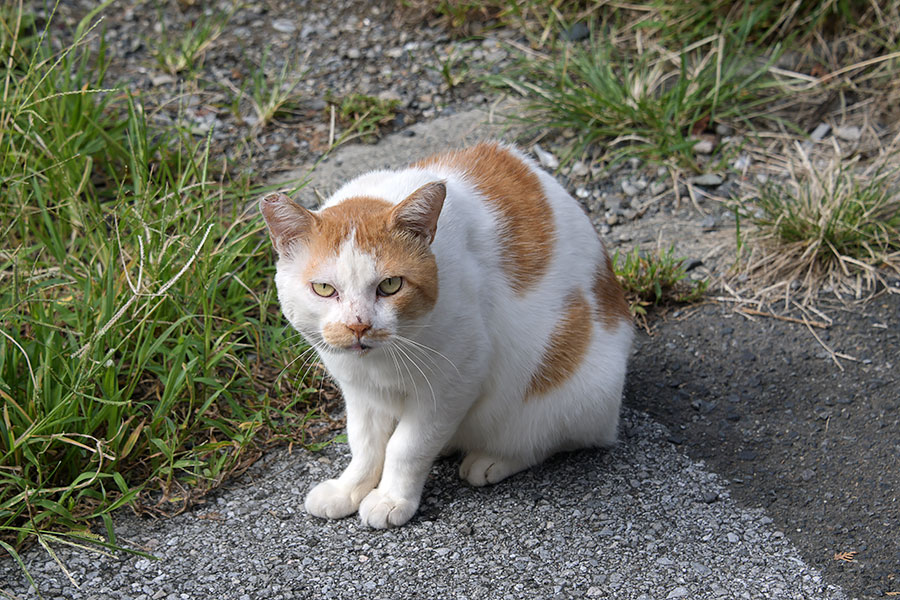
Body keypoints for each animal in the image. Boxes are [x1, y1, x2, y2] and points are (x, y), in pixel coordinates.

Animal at [260, 143, 632, 528]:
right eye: (323, 289)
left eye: (390, 285)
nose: (358, 325)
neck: (380, 363)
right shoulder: (360, 392)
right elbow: (364, 444)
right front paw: (348, 489)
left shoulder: (455, 381)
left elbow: (406, 447)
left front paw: (392, 498)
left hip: (574, 387)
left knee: (547, 439)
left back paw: (492, 459)